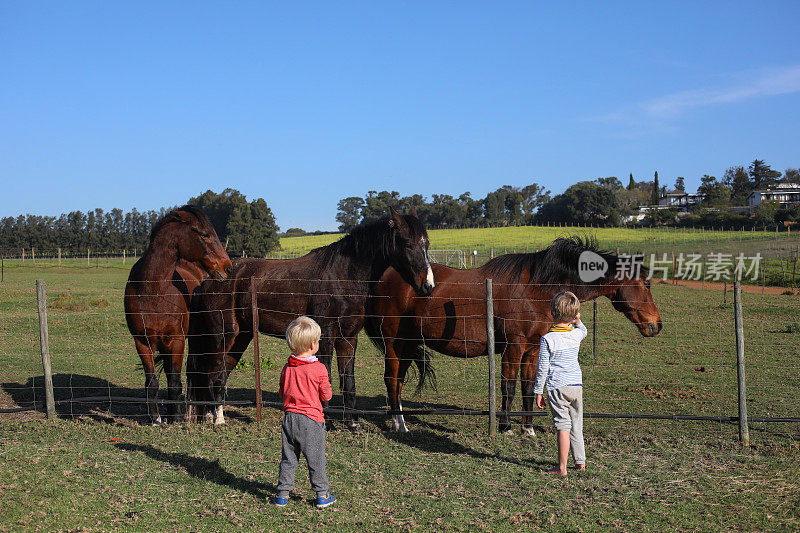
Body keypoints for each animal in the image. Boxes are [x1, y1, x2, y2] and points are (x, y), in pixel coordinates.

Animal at [123, 205, 231, 424]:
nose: (228, 267)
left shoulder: (177, 341)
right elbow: (152, 382)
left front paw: (176, 418)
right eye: (205, 234)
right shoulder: (142, 342)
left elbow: (174, 381)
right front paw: (156, 419)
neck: (153, 291)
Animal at [187, 208, 434, 428]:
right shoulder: (326, 335)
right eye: (407, 243)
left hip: (241, 336)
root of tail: (212, 278)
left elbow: (348, 381)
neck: (343, 276)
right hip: (223, 335)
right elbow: (326, 375)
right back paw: (216, 419)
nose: (428, 286)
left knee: (221, 373)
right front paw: (325, 421)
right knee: (212, 371)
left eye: (427, 244)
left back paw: (214, 415)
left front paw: (353, 423)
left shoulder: (348, 338)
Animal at [364, 236, 664, 432]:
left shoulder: (533, 349)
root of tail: (385, 277)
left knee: (398, 382)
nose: (657, 325)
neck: (537, 288)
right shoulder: (514, 347)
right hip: (395, 343)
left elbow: (529, 388)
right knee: (392, 380)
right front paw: (505, 426)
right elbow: (508, 386)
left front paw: (527, 428)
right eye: (646, 284)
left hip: (407, 344)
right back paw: (400, 424)